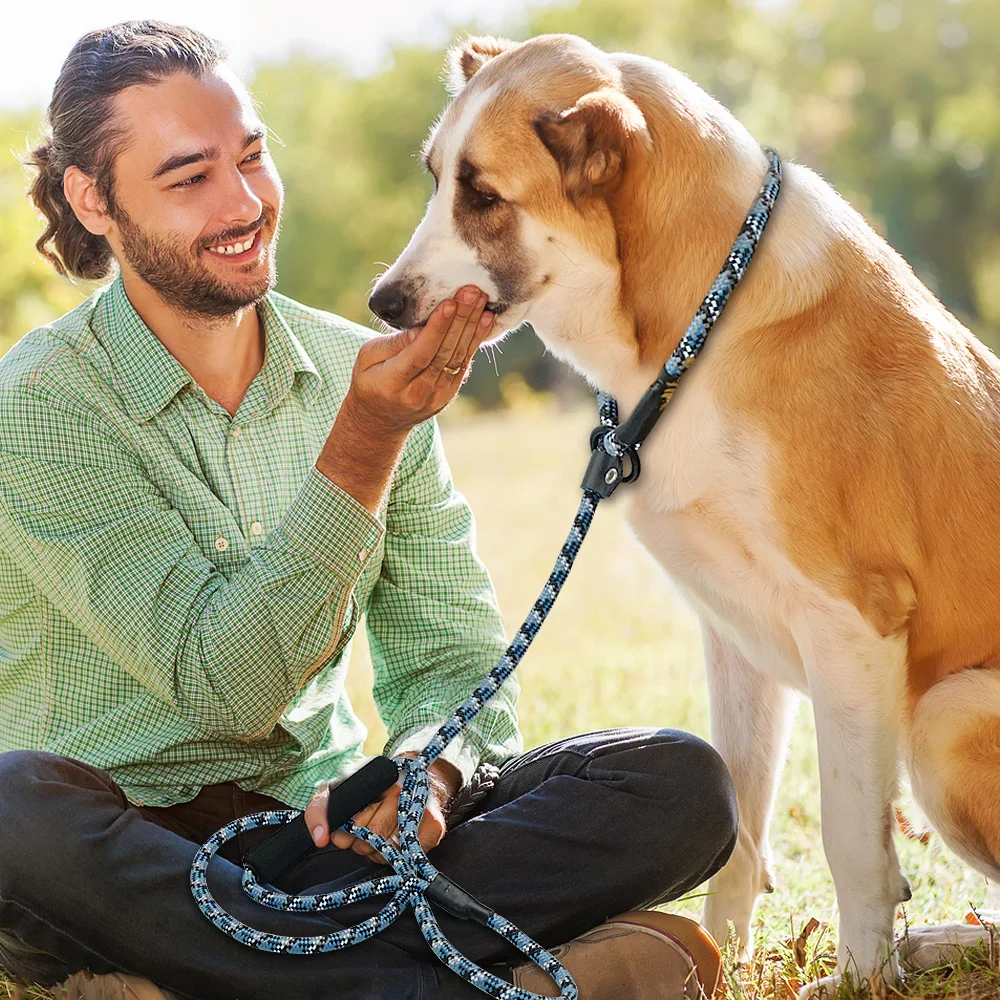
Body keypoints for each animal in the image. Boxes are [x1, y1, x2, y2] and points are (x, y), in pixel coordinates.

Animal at [368, 33, 1000, 1000]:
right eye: (436, 179)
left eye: (484, 195)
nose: (383, 303)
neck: (705, 319)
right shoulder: (738, 640)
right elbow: (740, 823)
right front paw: (725, 961)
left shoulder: (851, 624)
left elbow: (852, 840)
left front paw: (860, 979)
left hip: (948, 714)